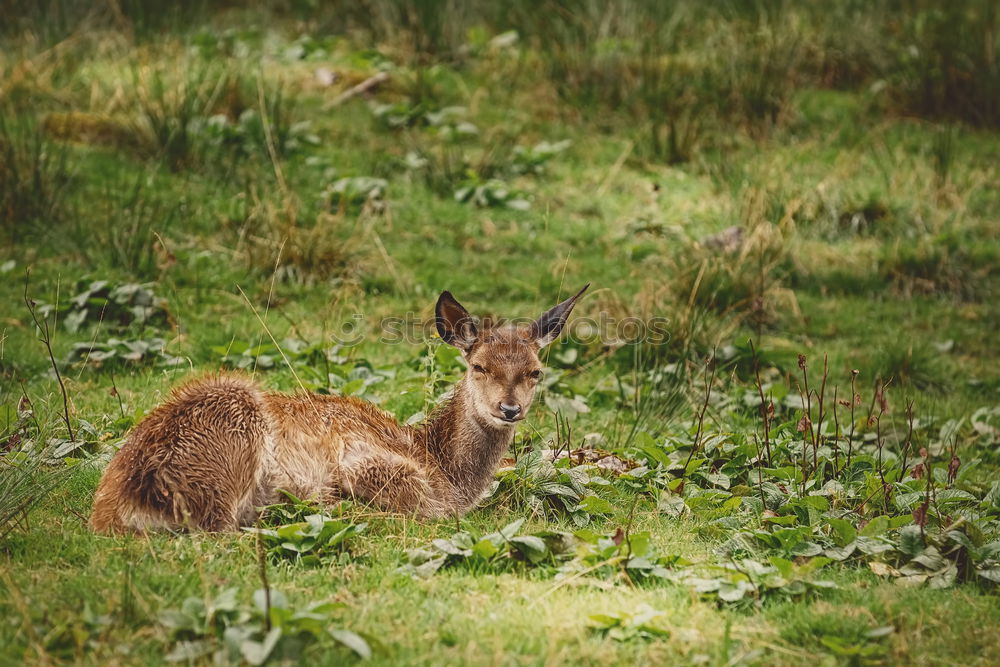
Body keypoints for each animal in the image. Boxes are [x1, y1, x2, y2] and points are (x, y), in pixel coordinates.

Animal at [90, 284, 588, 536]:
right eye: (479, 365)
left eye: (535, 371)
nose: (509, 408)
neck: (441, 464)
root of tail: (125, 501)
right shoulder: (366, 460)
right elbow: (424, 509)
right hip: (233, 432)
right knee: (221, 526)